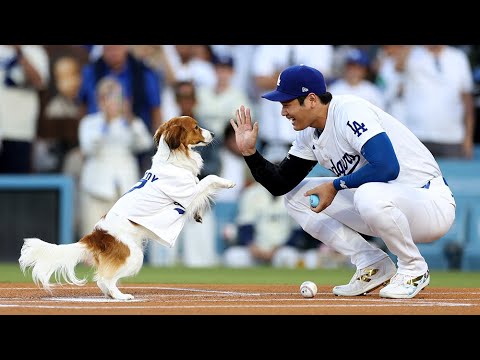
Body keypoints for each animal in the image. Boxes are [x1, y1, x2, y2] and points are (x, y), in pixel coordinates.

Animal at [17, 116, 235, 300]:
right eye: (196, 127)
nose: (213, 134)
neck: (172, 161)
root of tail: (95, 236)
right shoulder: (187, 193)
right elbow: (209, 179)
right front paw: (228, 183)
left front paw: (198, 214)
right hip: (134, 256)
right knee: (104, 279)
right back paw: (121, 296)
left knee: (103, 281)